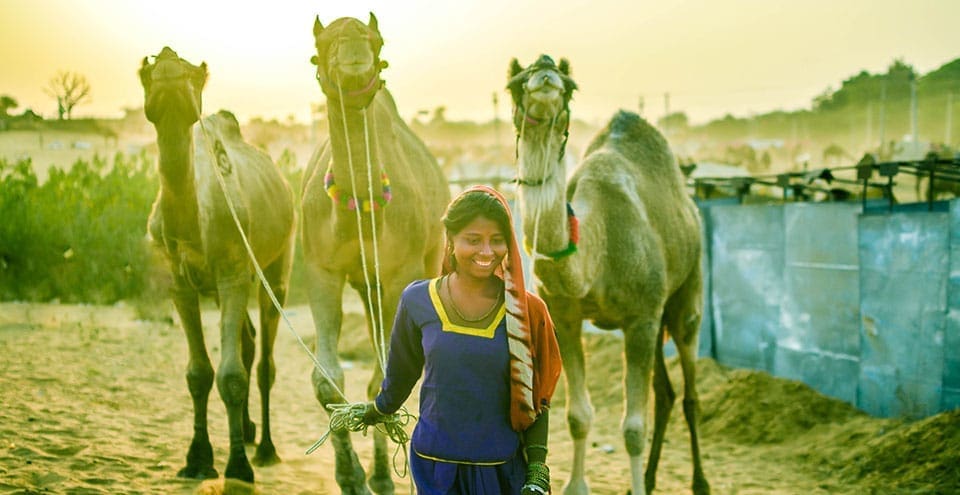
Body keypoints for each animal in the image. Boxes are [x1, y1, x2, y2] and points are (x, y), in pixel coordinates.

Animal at [138, 47, 296, 484]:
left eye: (192, 73)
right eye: (148, 73)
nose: (169, 62)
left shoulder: (232, 272)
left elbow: (231, 375)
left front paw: (238, 466)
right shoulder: (180, 284)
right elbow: (199, 373)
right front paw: (197, 459)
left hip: (276, 264)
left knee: (263, 361)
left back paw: (265, 448)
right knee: (247, 340)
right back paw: (246, 429)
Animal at [300, 13, 450, 494]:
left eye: (377, 42)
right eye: (319, 48)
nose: (353, 54)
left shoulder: (400, 272)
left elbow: (389, 374)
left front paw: (377, 477)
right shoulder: (320, 269)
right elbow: (327, 380)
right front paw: (350, 478)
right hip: (366, 285)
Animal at [506, 55, 708, 495]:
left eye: (568, 86)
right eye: (514, 83)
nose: (545, 71)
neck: (591, 259)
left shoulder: (641, 318)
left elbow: (633, 428)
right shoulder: (565, 317)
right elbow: (578, 416)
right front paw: (576, 485)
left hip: (684, 294)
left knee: (689, 391)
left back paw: (699, 482)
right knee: (665, 393)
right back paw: (647, 478)